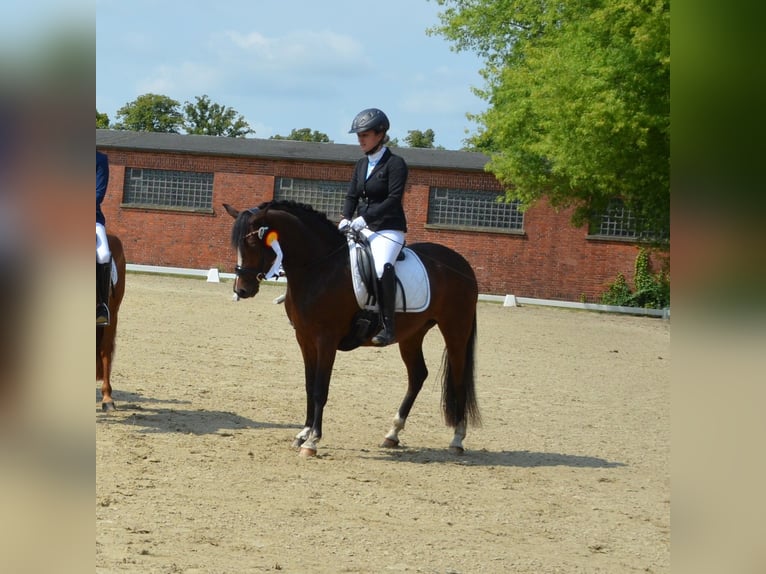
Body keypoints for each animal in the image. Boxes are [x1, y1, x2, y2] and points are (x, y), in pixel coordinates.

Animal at [225, 202, 484, 460]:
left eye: (252, 242)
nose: (242, 290)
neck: (319, 268)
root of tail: (461, 263)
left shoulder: (326, 340)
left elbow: (320, 389)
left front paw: (313, 441)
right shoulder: (304, 338)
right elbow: (309, 386)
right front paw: (303, 434)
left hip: (455, 329)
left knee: (458, 376)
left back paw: (457, 438)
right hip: (412, 334)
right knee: (418, 375)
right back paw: (392, 434)